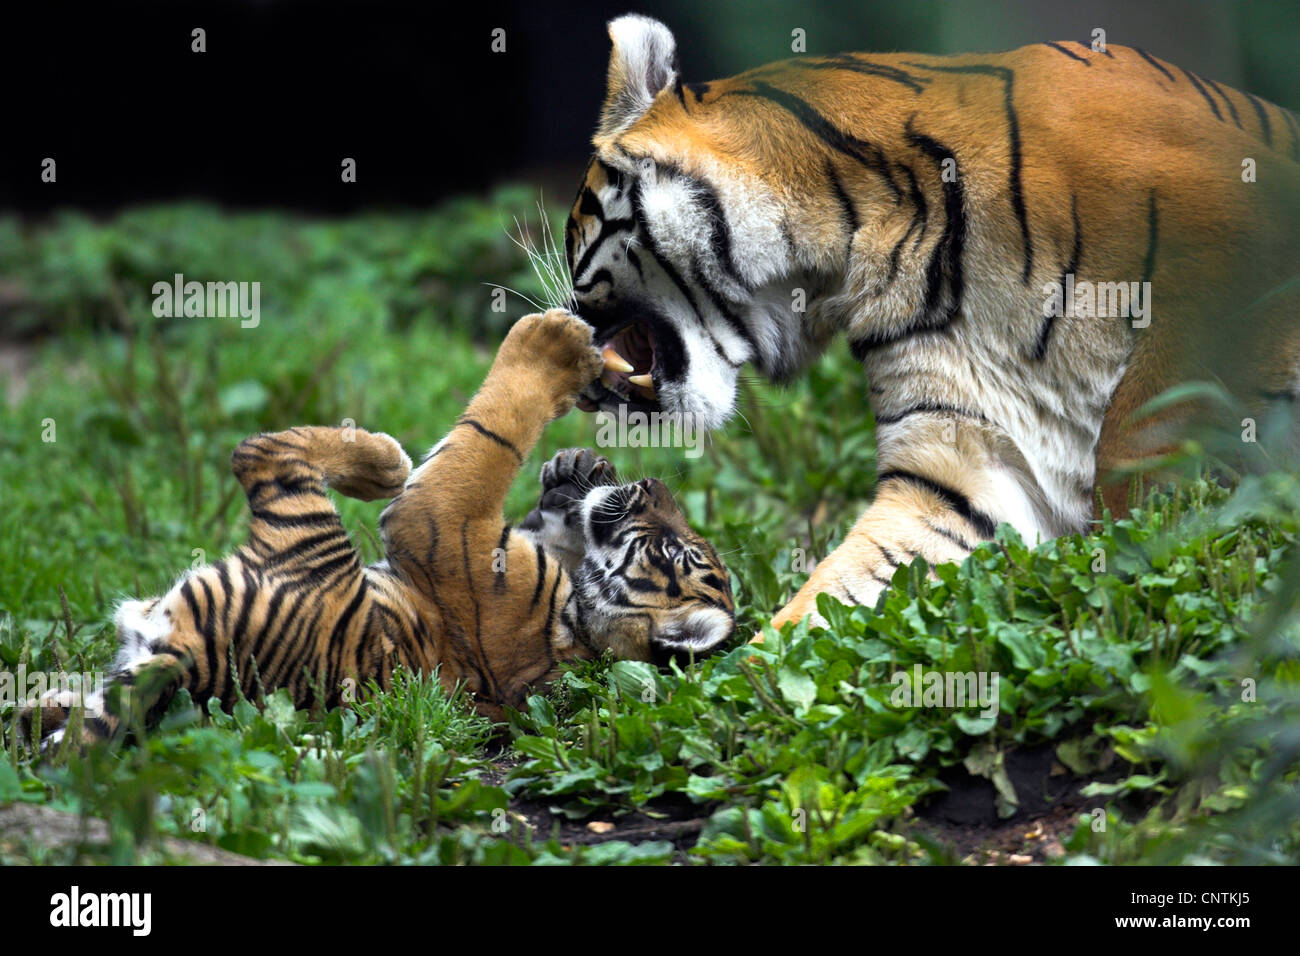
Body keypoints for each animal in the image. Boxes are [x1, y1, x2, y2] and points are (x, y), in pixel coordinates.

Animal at [22, 312, 733, 749]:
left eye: (677, 549)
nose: (655, 486)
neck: (576, 616)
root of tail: (191, 661)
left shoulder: (444, 519)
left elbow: (491, 435)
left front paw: (552, 345)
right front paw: (577, 468)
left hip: (300, 528)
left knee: (261, 451)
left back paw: (382, 460)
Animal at [561, 14, 1300, 632]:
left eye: (574, 242)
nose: (587, 386)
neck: (858, 236)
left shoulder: (1243, 259)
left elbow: (1148, 432)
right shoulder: (965, 460)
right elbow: (849, 585)